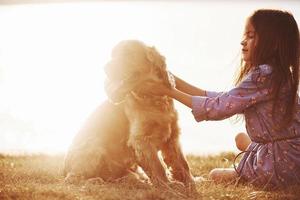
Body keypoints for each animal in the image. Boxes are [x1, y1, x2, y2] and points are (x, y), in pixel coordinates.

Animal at [63, 40, 195, 192]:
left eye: (128, 53)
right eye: (113, 55)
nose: (105, 67)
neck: (153, 100)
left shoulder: (172, 136)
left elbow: (183, 163)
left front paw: (191, 184)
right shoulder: (141, 140)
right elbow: (158, 167)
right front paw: (168, 187)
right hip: (94, 146)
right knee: (72, 178)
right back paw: (96, 181)